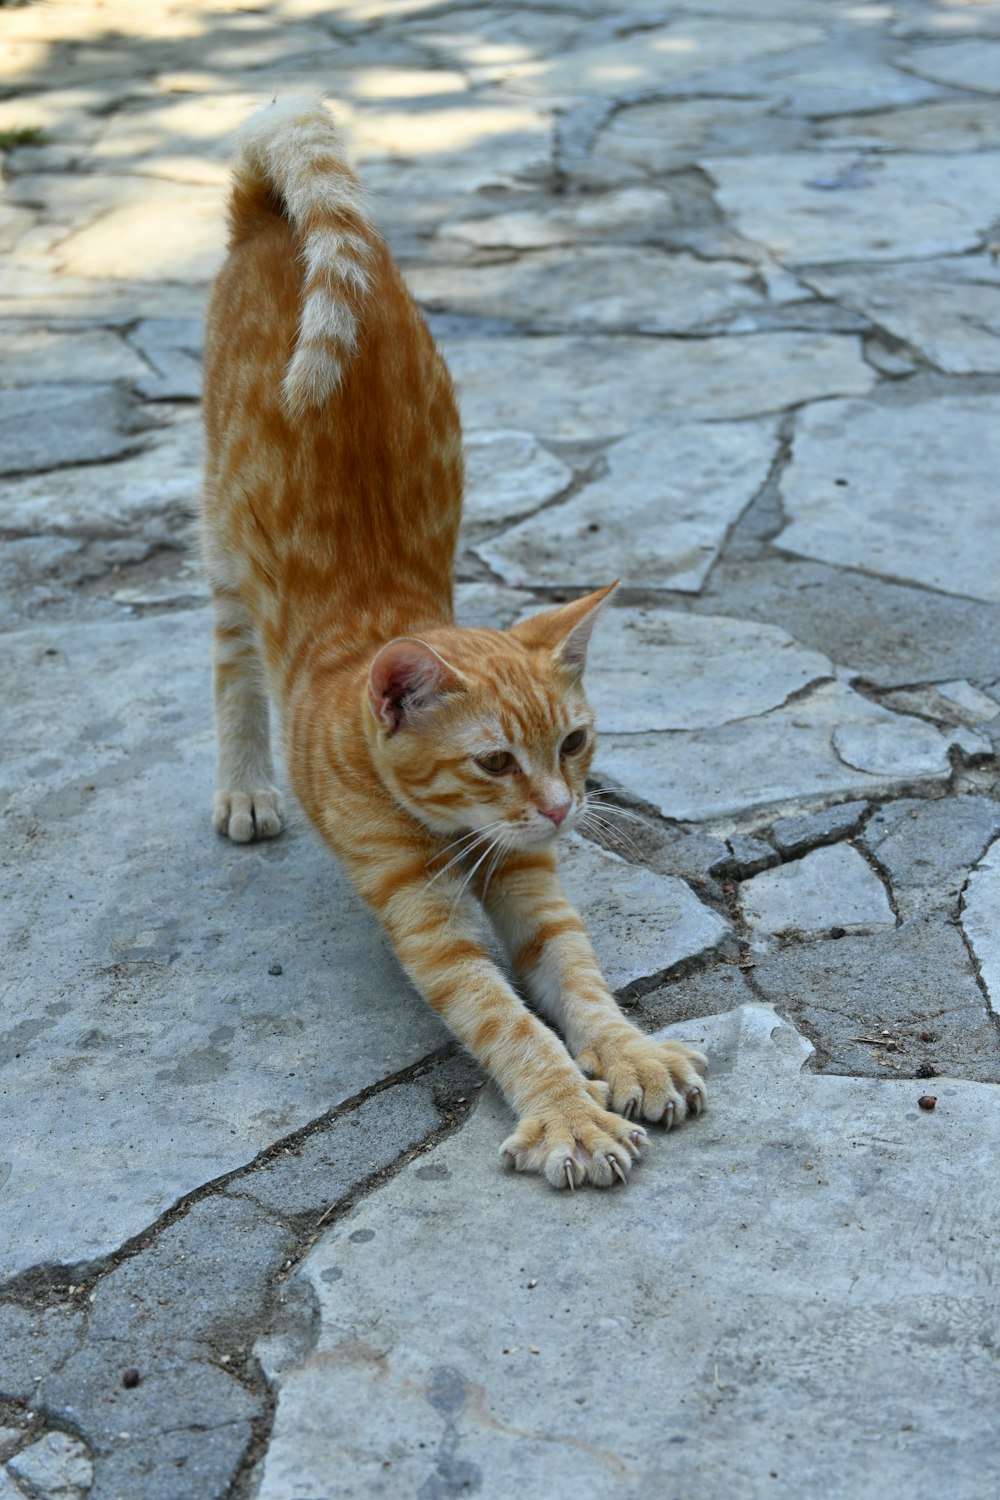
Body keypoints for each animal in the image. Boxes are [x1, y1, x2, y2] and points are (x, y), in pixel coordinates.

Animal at [200, 99, 704, 1188]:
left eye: (573, 744)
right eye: (492, 761)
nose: (561, 809)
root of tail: (271, 214)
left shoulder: (533, 885)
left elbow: (580, 981)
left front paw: (632, 1056)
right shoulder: (421, 918)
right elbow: (508, 1021)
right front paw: (570, 1113)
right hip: (220, 547)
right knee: (231, 676)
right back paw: (246, 788)